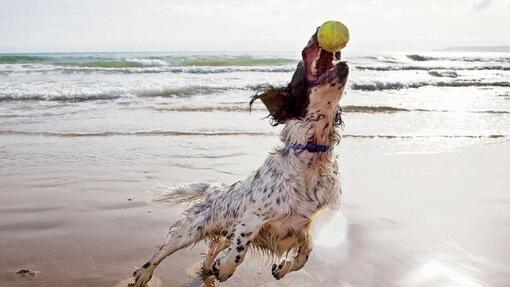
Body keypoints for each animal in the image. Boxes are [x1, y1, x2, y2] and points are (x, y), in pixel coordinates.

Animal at [129, 25, 348, 286]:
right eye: (299, 68)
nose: (316, 30)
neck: (312, 159)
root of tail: (215, 189)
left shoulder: (307, 226)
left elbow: (305, 255)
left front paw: (281, 268)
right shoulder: (252, 218)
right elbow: (239, 251)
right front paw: (224, 268)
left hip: (221, 232)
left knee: (213, 246)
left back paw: (207, 269)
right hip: (191, 229)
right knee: (162, 250)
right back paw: (144, 275)